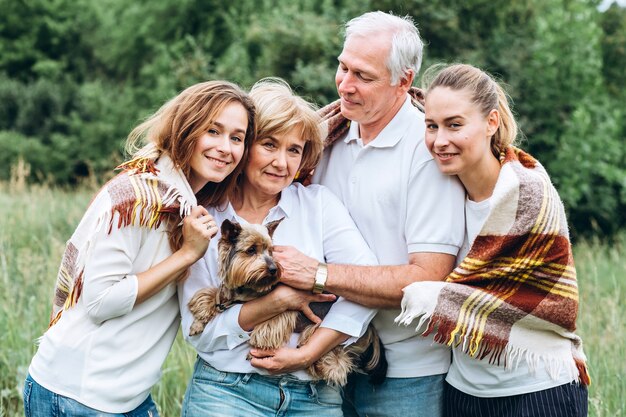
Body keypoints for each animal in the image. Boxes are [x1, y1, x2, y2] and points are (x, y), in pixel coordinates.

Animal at [185, 219, 386, 386]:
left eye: (271, 251)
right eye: (251, 250)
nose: (274, 269)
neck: (248, 287)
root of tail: (371, 330)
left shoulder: (282, 310)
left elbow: (266, 329)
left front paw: (258, 349)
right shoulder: (232, 296)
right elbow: (211, 294)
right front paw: (198, 321)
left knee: (337, 363)